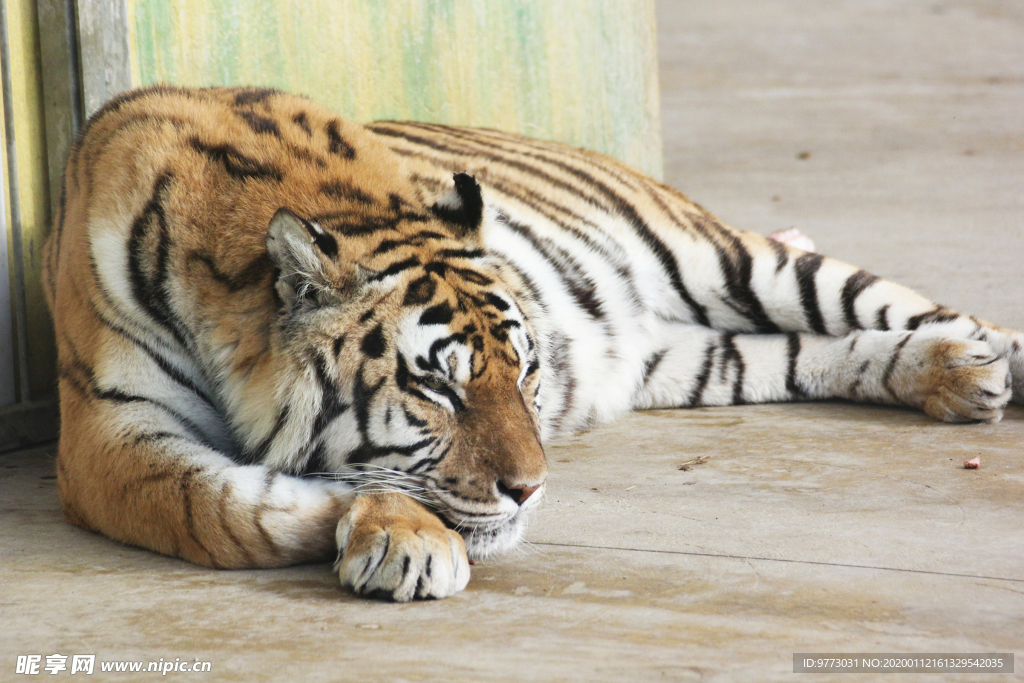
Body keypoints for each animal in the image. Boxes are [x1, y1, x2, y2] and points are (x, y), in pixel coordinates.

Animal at [42, 85, 1024, 602]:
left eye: (528, 368)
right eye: (436, 388)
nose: (533, 488)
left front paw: (405, 536)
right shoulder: (107, 437)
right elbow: (230, 509)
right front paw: (403, 533)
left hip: (728, 258)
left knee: (886, 299)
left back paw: (986, 356)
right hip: (691, 358)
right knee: (814, 349)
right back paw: (960, 374)